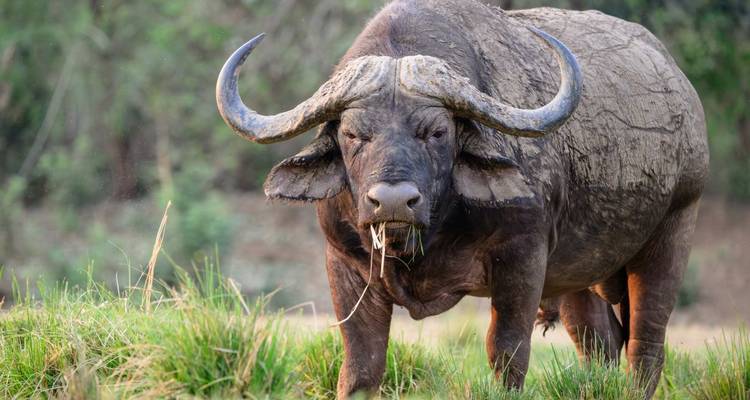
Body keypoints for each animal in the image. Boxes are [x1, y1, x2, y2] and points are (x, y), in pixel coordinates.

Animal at [216, 1, 708, 398]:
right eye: (354, 134)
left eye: (436, 132)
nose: (392, 202)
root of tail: (684, 93)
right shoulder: (344, 264)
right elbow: (361, 364)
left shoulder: (523, 259)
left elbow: (506, 353)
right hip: (579, 276)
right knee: (600, 343)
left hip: (673, 232)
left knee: (645, 345)